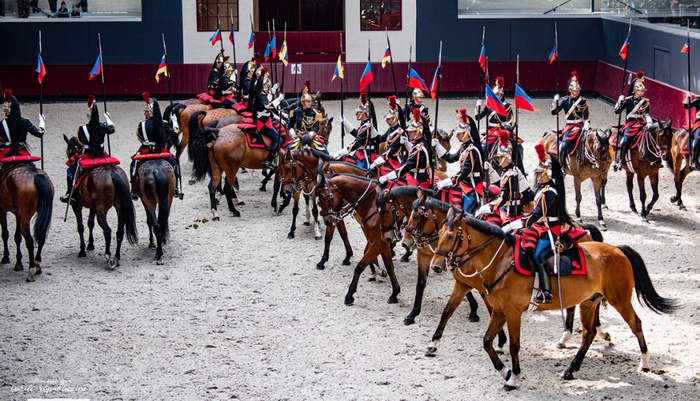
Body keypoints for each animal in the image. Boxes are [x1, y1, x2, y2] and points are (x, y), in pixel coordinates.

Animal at [63, 135, 139, 268]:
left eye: (68, 150)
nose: (70, 159)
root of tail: (112, 173)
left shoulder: (77, 206)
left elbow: (81, 226)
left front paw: (82, 250)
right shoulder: (92, 208)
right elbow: (90, 223)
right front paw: (90, 245)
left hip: (101, 211)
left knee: (107, 231)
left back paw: (108, 255)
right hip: (119, 209)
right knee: (119, 232)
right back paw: (117, 256)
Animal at [430, 206, 676, 388]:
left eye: (450, 236)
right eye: (438, 234)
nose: (436, 265)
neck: (500, 261)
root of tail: (617, 249)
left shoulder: (512, 312)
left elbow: (514, 345)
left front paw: (514, 377)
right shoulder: (499, 310)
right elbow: (486, 341)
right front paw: (505, 371)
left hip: (620, 300)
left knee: (636, 324)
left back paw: (644, 363)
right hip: (589, 302)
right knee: (588, 334)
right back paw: (571, 369)